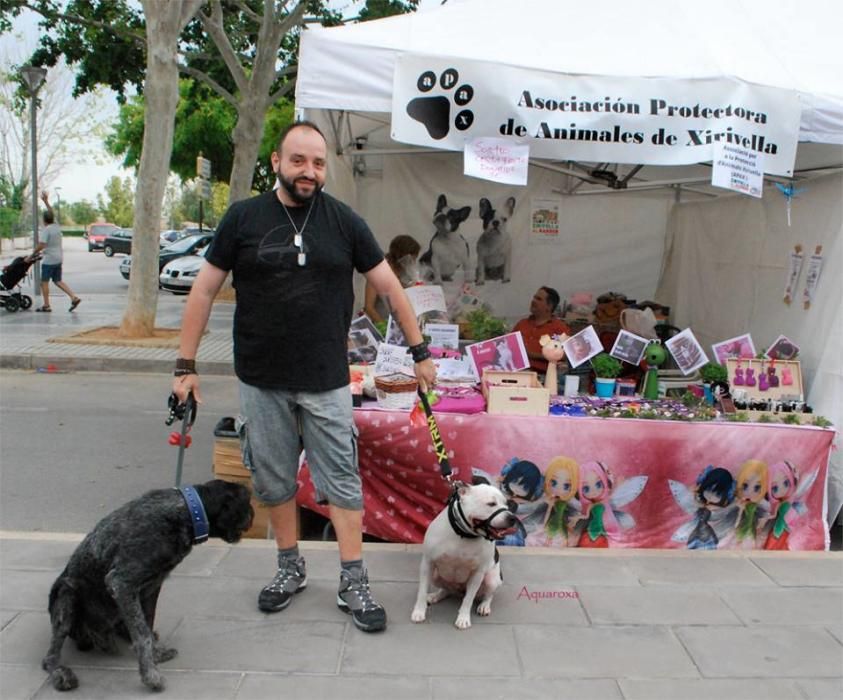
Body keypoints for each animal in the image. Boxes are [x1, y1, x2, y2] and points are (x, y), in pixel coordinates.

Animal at [42, 478, 252, 692]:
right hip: (67, 594)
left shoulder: (151, 586)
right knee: (50, 656)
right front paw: (151, 676)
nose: (252, 516)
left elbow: (147, 624)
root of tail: (95, 636)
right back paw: (60, 673)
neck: (187, 512)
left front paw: (155, 655)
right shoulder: (121, 582)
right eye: (246, 502)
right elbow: (142, 634)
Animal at [410, 482, 520, 628]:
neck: (465, 534)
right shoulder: (428, 563)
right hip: (435, 575)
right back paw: (435, 596)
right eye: (491, 504)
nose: (512, 517)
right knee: (446, 590)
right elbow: (422, 591)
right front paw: (419, 611)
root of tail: (459, 590)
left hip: (492, 579)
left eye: (506, 505)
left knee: (488, 595)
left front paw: (463, 618)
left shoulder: (478, 573)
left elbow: (468, 599)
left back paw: (484, 606)